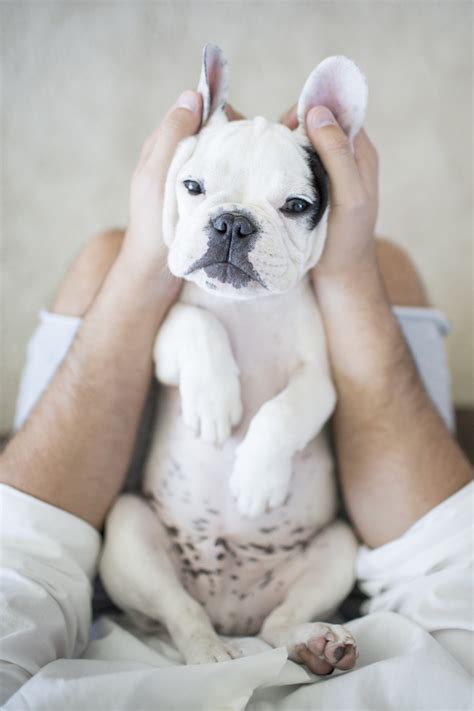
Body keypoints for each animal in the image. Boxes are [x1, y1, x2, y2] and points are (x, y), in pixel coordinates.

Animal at [99, 46, 366, 672]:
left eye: (296, 206)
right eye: (193, 186)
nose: (232, 223)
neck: (244, 308)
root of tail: (230, 611)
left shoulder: (320, 377)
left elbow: (289, 408)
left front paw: (256, 475)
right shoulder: (164, 342)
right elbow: (198, 326)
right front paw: (215, 403)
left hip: (338, 550)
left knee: (278, 625)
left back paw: (316, 644)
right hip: (128, 533)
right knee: (180, 612)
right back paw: (209, 653)